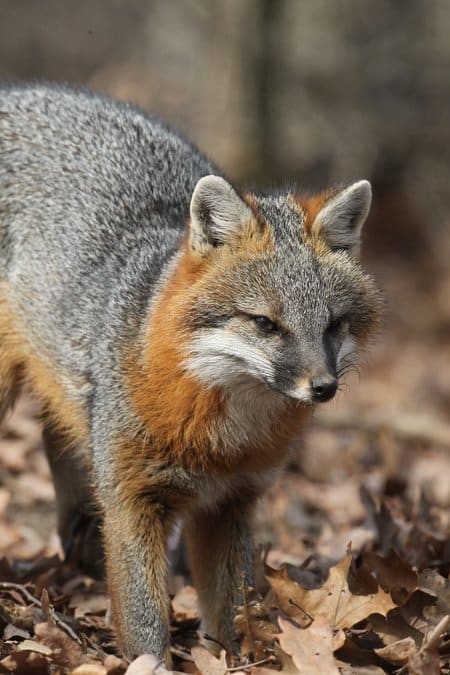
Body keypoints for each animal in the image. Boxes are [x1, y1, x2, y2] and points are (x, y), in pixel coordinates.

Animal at [0, 82, 384, 664]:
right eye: (265, 324)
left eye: (334, 325)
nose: (324, 387)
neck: (223, 437)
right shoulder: (133, 499)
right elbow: (144, 620)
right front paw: (150, 665)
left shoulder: (230, 503)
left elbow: (234, 610)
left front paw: (241, 661)